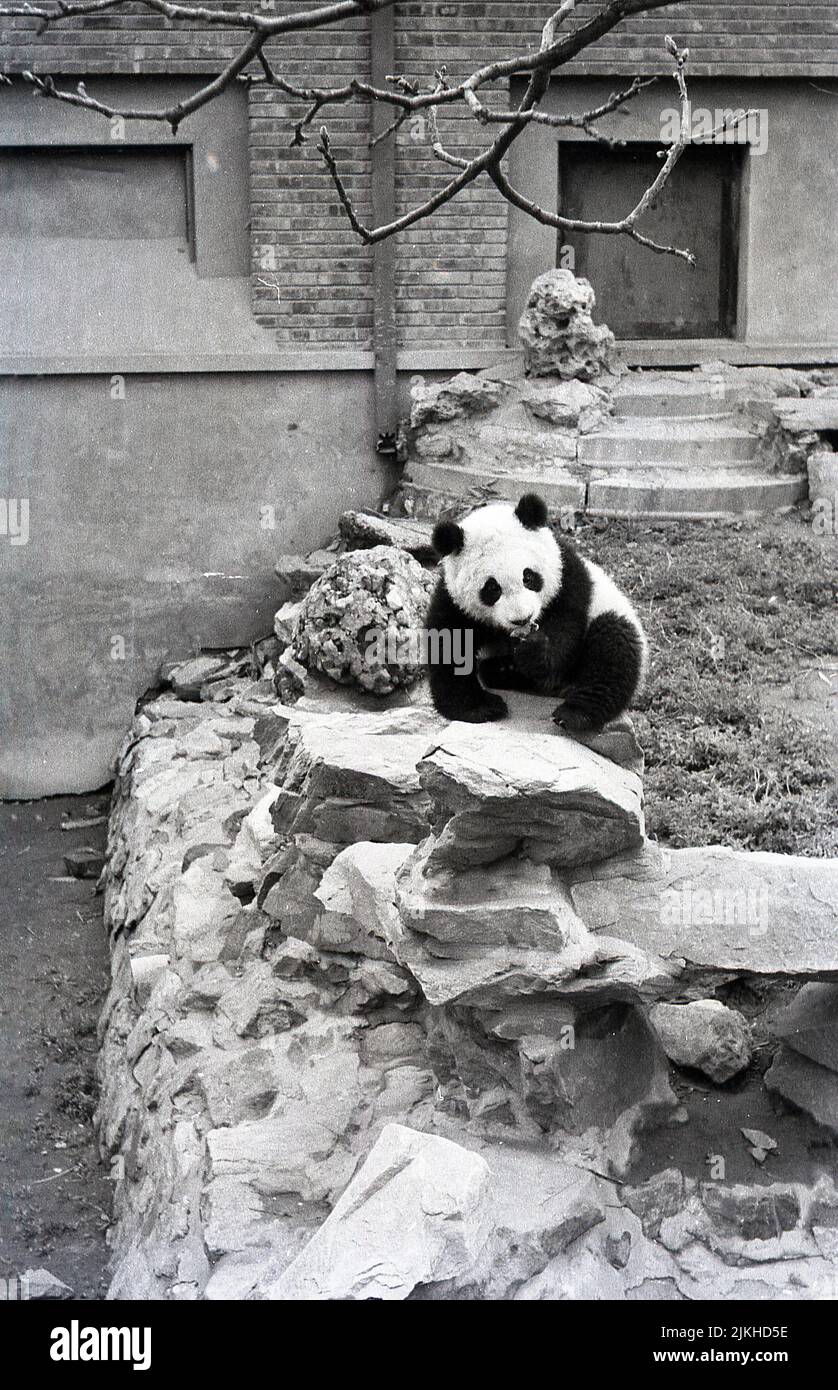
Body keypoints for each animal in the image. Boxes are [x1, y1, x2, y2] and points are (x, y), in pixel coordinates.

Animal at [425, 489, 650, 728]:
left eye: (528, 577)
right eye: (492, 588)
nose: (522, 619)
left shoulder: (566, 576)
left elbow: (565, 629)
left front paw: (534, 652)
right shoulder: (454, 600)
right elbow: (449, 644)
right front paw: (480, 708)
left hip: (613, 612)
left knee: (613, 646)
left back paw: (574, 713)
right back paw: (503, 670)